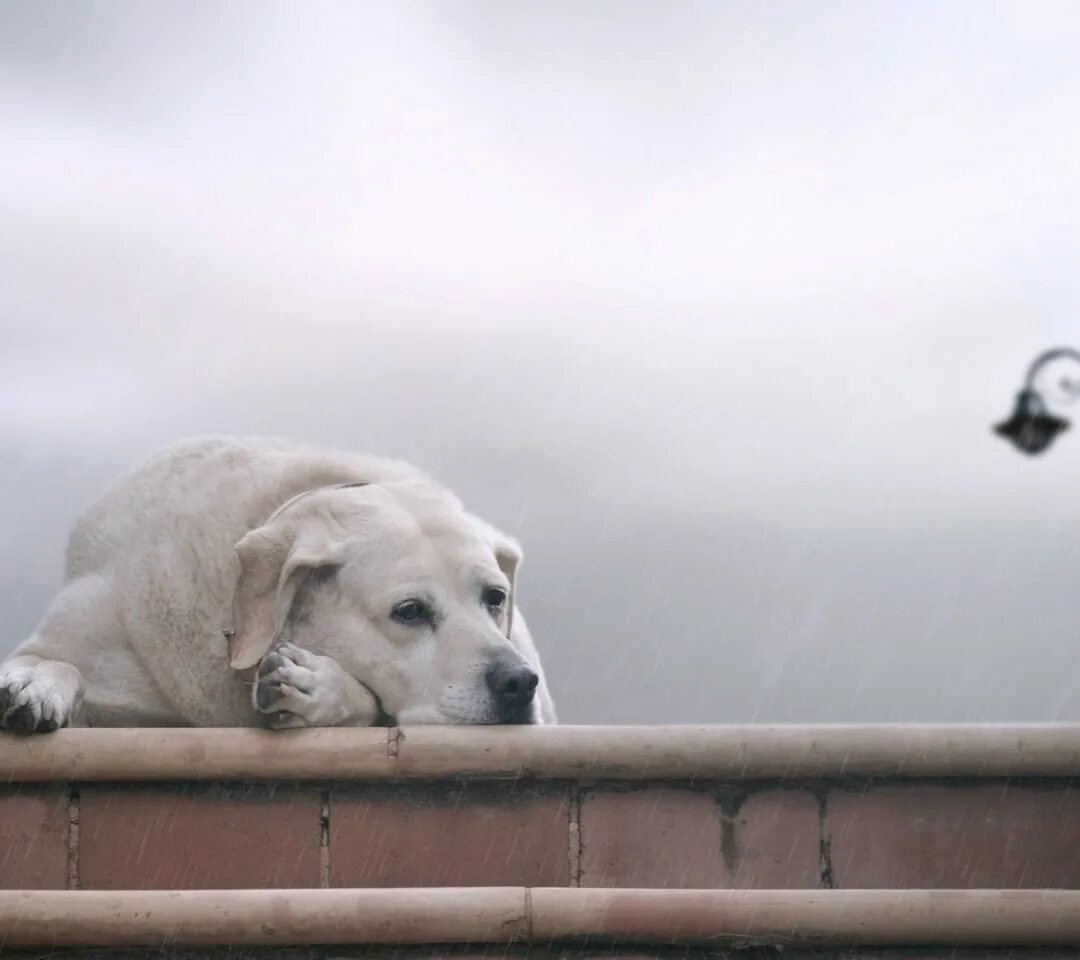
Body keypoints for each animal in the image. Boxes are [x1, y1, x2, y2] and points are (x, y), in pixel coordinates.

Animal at [0, 436, 557, 734]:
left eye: (495, 599)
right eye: (410, 610)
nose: (517, 682)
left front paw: (316, 688)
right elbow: (55, 661)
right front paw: (35, 685)